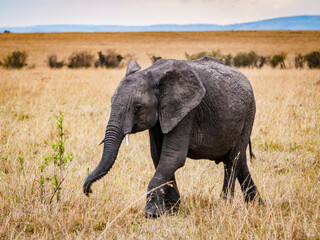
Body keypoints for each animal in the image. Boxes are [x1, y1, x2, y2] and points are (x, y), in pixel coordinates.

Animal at [84, 56, 262, 218]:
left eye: (137, 107)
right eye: (111, 101)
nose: (89, 191)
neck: (153, 74)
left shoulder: (185, 112)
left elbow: (172, 157)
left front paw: (151, 213)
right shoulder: (160, 117)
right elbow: (158, 156)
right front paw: (170, 210)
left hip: (248, 115)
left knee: (232, 161)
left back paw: (225, 206)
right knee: (240, 161)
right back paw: (257, 205)